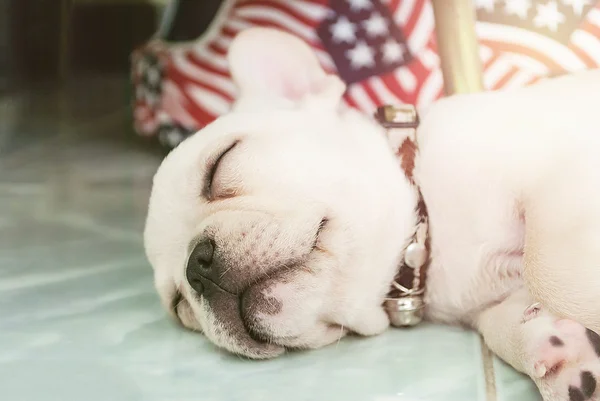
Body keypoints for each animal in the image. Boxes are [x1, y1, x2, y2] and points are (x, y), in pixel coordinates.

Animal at [144, 26, 600, 398]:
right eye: (180, 306)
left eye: (221, 163)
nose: (196, 267)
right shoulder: (488, 302)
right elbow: (503, 323)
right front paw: (564, 356)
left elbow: (548, 270)